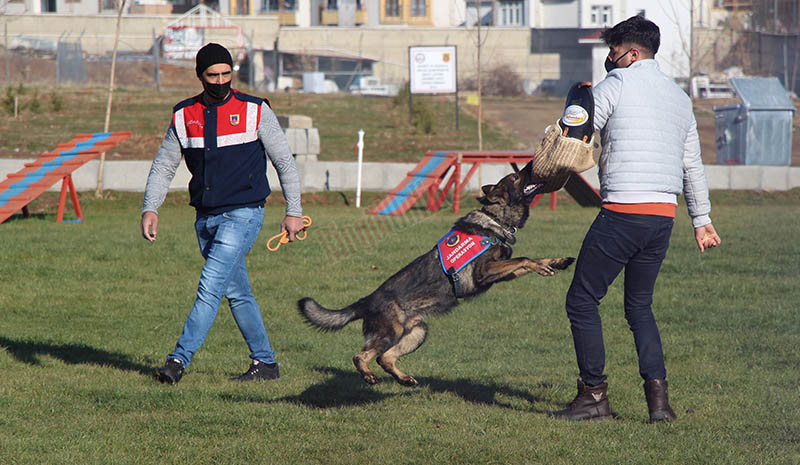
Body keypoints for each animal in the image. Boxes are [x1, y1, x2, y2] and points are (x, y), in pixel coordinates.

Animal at [296, 161, 572, 386]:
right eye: (515, 177)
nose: (531, 164)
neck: (495, 219)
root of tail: (367, 300)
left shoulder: (502, 272)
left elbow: (528, 261)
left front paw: (556, 262)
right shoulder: (484, 272)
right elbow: (524, 259)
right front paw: (544, 265)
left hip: (418, 332)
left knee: (385, 358)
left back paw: (404, 379)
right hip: (390, 333)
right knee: (360, 356)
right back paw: (368, 376)